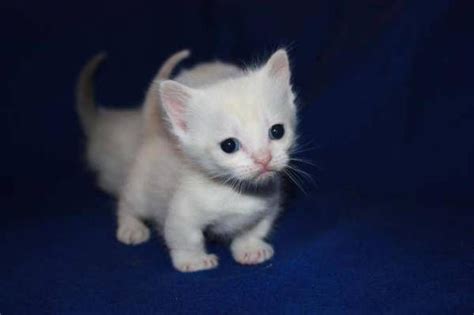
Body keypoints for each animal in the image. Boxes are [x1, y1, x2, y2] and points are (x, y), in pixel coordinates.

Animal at [76, 48, 298, 272]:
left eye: (277, 131)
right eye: (229, 145)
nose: (264, 158)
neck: (237, 192)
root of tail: (152, 132)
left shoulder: (269, 206)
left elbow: (256, 229)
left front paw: (250, 248)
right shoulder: (182, 212)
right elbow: (186, 238)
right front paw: (194, 261)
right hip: (140, 189)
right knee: (127, 204)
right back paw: (131, 227)